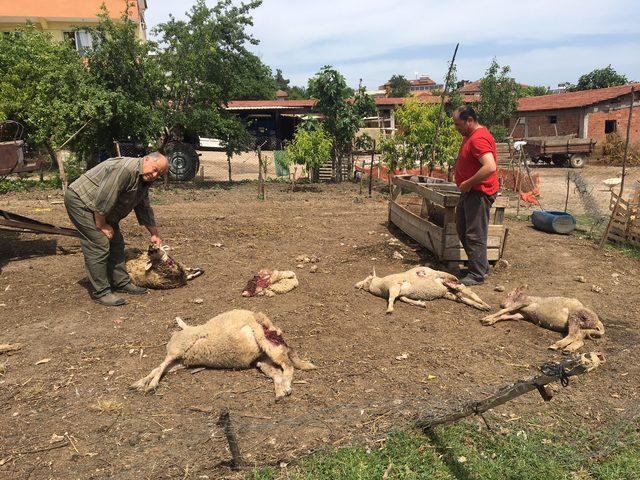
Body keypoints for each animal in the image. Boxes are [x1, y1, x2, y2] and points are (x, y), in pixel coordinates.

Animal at [131, 308, 318, 398]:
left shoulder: (177, 351)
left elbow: (159, 367)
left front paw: (149, 385)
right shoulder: (178, 358)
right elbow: (158, 368)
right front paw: (140, 384)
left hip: (268, 346)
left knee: (287, 366)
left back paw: (286, 386)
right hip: (264, 358)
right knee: (278, 371)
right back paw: (280, 391)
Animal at [356, 264, 490, 314]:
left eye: (367, 279)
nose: (357, 285)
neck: (380, 286)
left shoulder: (394, 286)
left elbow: (391, 298)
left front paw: (389, 309)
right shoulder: (401, 293)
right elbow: (404, 299)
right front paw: (420, 303)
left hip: (448, 279)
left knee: (469, 292)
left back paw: (485, 305)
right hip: (448, 292)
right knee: (463, 297)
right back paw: (481, 307)